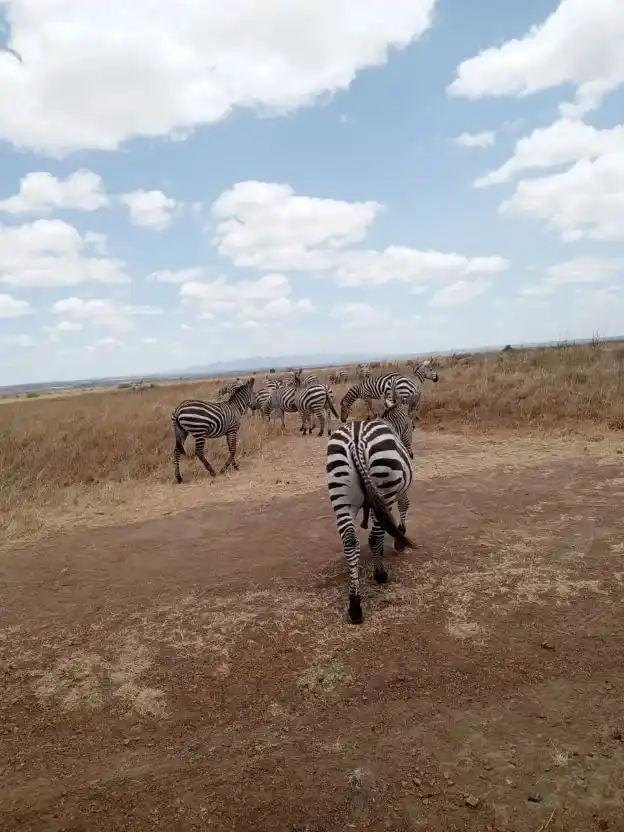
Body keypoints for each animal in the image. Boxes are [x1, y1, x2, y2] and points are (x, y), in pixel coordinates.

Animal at [326, 416, 414, 624]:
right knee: (373, 537)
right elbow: (403, 506)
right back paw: (380, 574)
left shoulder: (375, 501)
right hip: (385, 484)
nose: (411, 453)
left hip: (341, 497)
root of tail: (356, 440)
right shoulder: (394, 494)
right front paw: (400, 540)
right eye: (411, 426)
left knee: (350, 542)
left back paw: (355, 605)